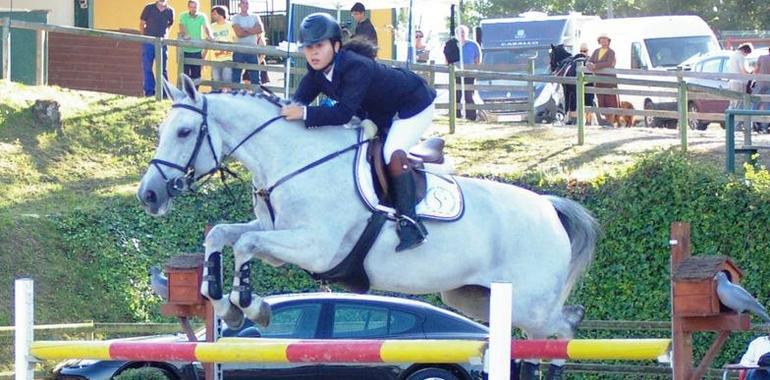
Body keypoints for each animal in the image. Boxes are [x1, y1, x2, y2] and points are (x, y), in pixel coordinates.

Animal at [136, 77, 600, 350]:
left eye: (183, 132)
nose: (149, 195)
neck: (292, 159)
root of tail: (549, 207)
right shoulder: (278, 238)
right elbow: (222, 236)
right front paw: (225, 303)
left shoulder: (315, 247)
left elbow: (245, 244)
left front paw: (251, 308)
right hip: (474, 297)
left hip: (529, 305)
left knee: (561, 330)